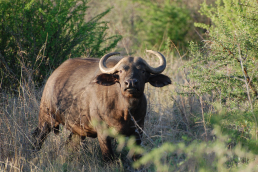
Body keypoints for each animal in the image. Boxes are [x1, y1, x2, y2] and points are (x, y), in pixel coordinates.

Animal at [32, 49, 171, 161]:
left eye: (142, 71)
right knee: (37, 138)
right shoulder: (103, 134)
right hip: (46, 119)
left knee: (71, 145)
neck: (125, 110)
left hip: (78, 131)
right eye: (120, 71)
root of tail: (53, 76)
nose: (130, 83)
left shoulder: (138, 132)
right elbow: (109, 158)